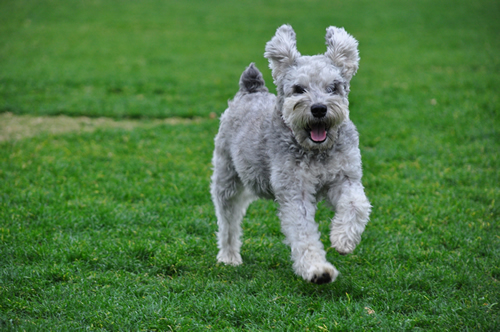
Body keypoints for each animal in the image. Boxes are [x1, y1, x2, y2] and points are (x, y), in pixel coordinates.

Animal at [211, 24, 372, 284]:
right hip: (227, 180)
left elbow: (356, 204)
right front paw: (318, 270)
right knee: (228, 223)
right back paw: (229, 257)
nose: (319, 108)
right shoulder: (295, 191)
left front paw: (343, 239)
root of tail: (251, 90)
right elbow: (303, 232)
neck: (316, 151)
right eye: (298, 89)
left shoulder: (345, 177)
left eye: (333, 87)